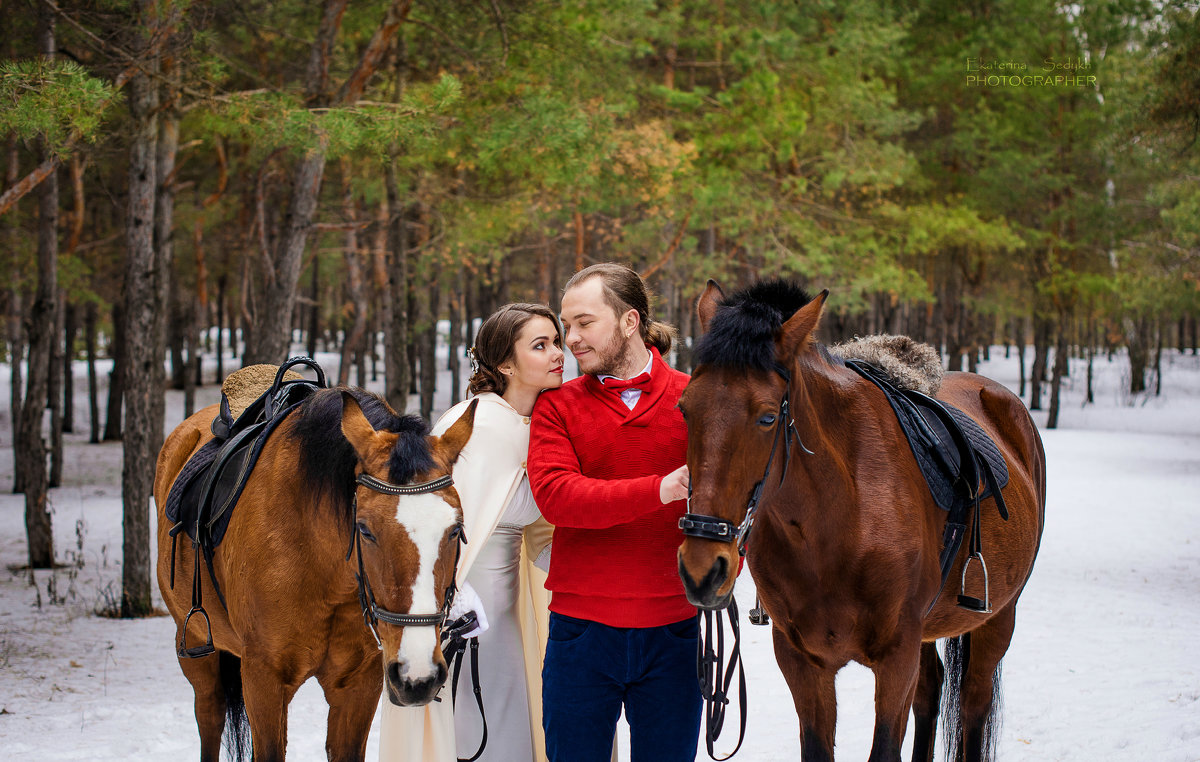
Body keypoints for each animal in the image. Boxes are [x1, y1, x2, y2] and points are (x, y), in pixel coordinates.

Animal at [154, 386, 477, 762]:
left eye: (456, 530)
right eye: (364, 530)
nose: (419, 675)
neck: (324, 566)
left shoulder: (359, 683)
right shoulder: (263, 678)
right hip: (195, 648)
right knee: (210, 717)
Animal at [681, 282, 1046, 762]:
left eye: (767, 417)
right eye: (685, 409)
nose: (702, 568)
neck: (833, 526)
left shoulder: (897, 657)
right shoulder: (801, 660)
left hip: (998, 619)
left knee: (973, 707)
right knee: (931, 694)